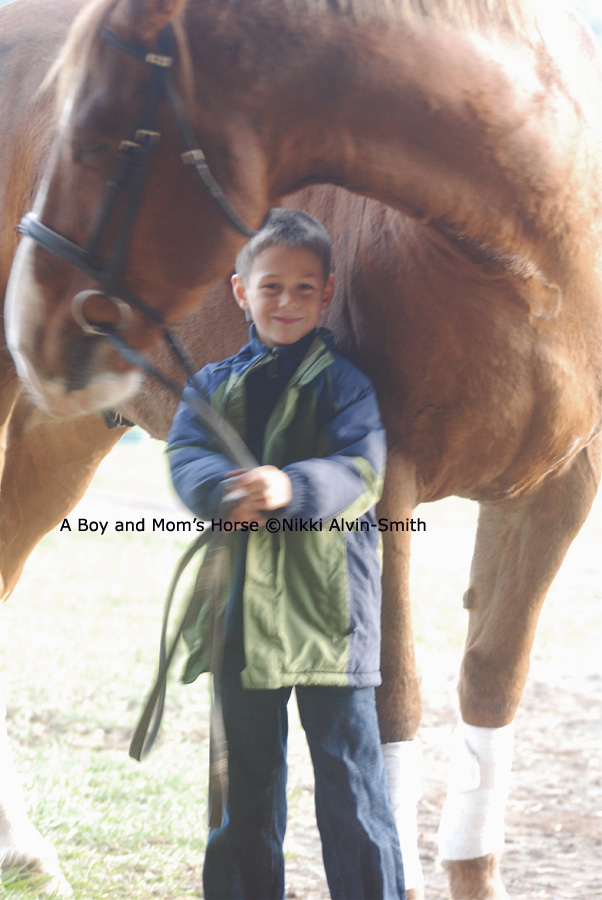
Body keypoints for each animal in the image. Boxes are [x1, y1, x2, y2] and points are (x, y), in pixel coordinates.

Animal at [0, 0, 596, 896]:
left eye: (98, 138)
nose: (29, 323)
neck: (526, 268)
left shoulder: (555, 492)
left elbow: (493, 685)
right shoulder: (385, 488)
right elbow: (392, 698)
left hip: (62, 434)